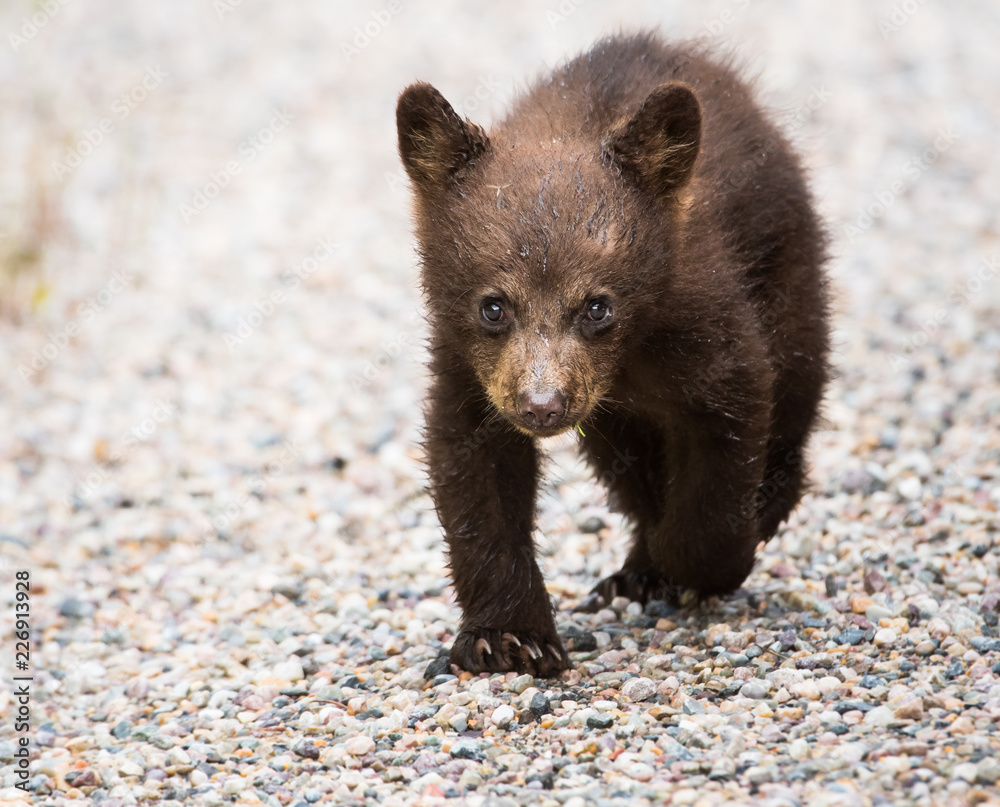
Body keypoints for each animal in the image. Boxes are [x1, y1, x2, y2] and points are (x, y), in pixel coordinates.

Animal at [396, 31, 829, 676]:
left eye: (597, 306)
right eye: (493, 306)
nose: (542, 405)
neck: (629, 356)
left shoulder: (704, 321)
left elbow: (729, 426)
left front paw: (702, 562)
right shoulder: (468, 366)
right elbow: (474, 469)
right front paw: (509, 638)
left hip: (788, 265)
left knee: (797, 379)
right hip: (612, 423)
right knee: (629, 466)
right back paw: (636, 573)